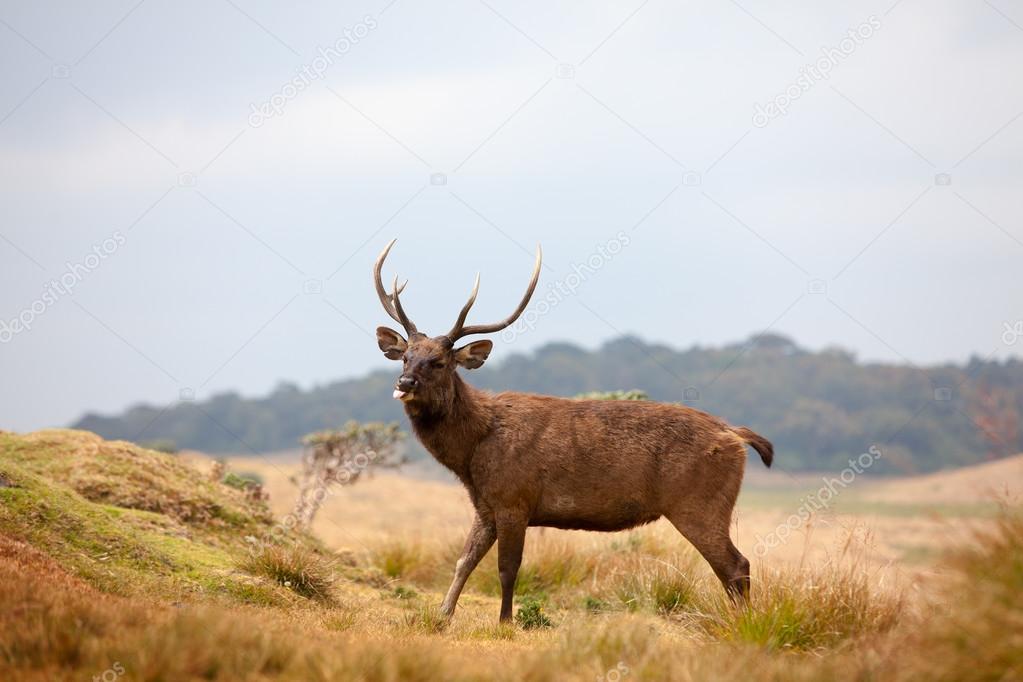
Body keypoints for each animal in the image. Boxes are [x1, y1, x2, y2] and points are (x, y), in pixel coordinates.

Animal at [372, 240, 769, 625]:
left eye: (439, 362)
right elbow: (463, 561)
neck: (473, 451)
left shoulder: (514, 498)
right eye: (405, 356)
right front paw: (442, 615)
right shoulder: (485, 505)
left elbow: (507, 568)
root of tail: (736, 435)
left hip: (699, 502)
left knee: (736, 565)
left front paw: (505, 621)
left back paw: (744, 625)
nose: (404, 382)